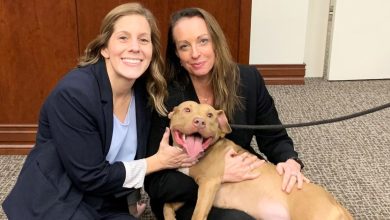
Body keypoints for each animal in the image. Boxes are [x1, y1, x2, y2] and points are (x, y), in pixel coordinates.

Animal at [165, 101, 354, 220]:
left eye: (210, 114)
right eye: (187, 110)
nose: (200, 121)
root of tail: (338, 206)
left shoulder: (209, 185)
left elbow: (197, 214)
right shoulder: (191, 189)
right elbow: (167, 204)